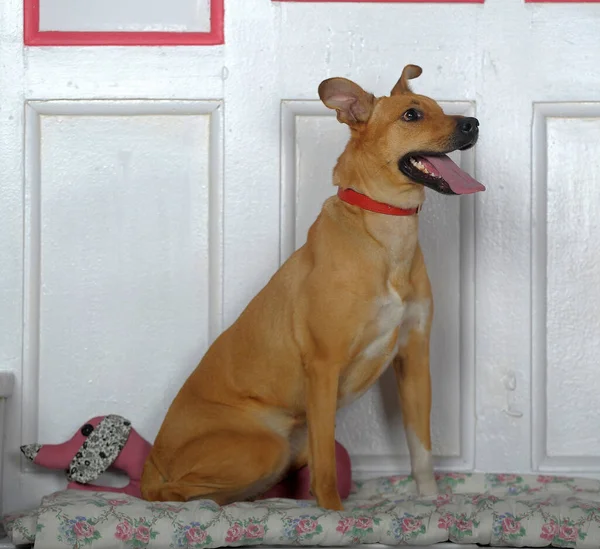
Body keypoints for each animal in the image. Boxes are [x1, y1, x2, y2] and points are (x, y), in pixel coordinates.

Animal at [142, 64, 488, 510]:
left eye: (439, 107)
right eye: (411, 115)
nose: (473, 123)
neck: (386, 235)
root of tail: (151, 462)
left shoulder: (414, 358)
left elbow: (421, 449)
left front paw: (429, 501)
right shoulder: (324, 366)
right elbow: (325, 467)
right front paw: (335, 515)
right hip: (264, 447)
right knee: (177, 493)